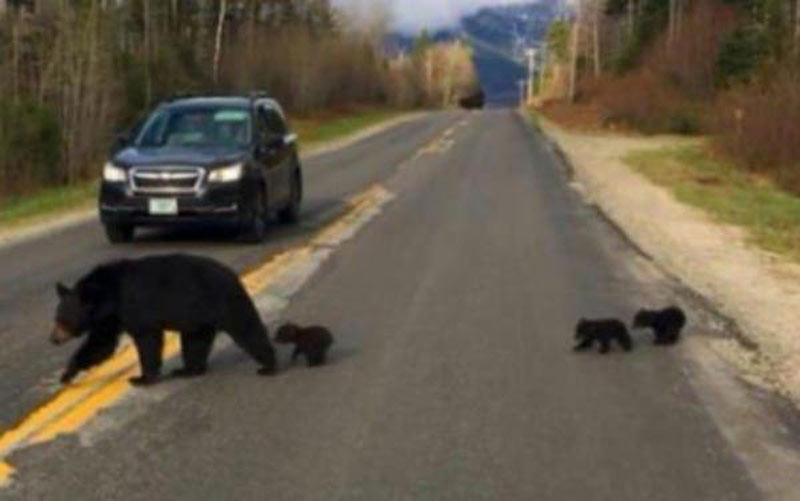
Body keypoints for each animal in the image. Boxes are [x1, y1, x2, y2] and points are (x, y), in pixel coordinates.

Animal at [51, 254, 276, 386]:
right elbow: (100, 344)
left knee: (247, 328)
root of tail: (233, 274)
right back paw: (187, 370)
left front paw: (141, 378)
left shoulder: (134, 307)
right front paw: (67, 374)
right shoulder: (112, 317)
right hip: (198, 319)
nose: (52, 339)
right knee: (195, 343)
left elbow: (147, 341)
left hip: (225, 301)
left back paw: (268, 366)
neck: (109, 294)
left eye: (61, 320)